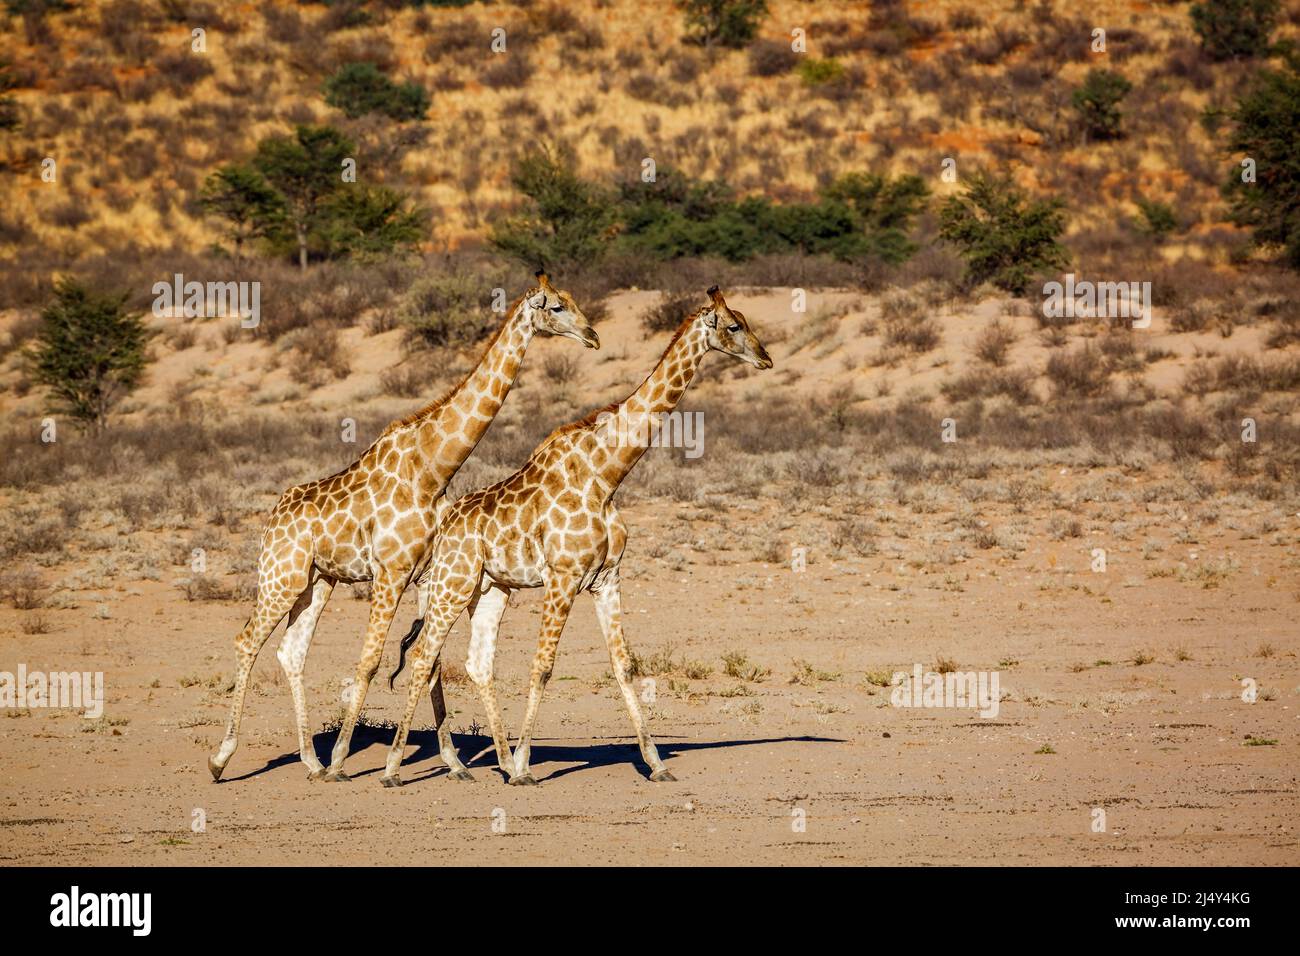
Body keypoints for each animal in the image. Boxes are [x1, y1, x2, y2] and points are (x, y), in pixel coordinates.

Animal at [207, 271, 598, 783]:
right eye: (555, 307)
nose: (592, 335)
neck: (433, 468)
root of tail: (271, 520)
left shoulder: (427, 573)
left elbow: (429, 661)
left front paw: (455, 762)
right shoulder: (390, 571)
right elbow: (371, 661)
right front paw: (344, 762)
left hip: (318, 580)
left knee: (292, 651)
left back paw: (310, 760)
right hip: (281, 575)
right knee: (247, 640)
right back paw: (222, 759)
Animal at [380, 286, 772, 787]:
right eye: (734, 326)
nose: (765, 358)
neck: (606, 474)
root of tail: (442, 528)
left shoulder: (607, 578)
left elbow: (625, 666)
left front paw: (657, 764)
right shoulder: (563, 576)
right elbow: (544, 666)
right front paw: (526, 767)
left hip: (489, 588)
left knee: (471, 661)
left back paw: (490, 761)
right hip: (454, 584)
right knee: (424, 656)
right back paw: (396, 768)